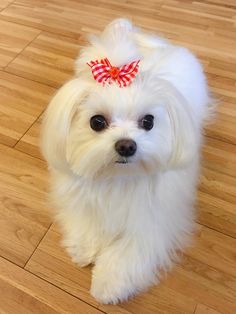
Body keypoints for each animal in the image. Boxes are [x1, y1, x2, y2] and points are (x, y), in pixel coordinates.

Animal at [41, 19, 209, 304]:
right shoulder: (82, 196)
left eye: (148, 121)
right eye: (97, 122)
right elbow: (86, 219)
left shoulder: (153, 219)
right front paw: (84, 247)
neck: (117, 178)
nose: (126, 145)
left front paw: (108, 284)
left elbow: (129, 251)